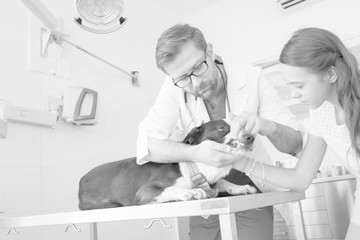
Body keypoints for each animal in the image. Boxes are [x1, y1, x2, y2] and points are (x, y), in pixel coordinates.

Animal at [78, 120, 256, 210]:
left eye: (244, 127)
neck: (196, 168)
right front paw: (191, 192)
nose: (251, 137)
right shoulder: (145, 191)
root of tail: (82, 179)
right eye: (221, 128)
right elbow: (170, 189)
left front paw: (240, 187)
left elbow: (223, 182)